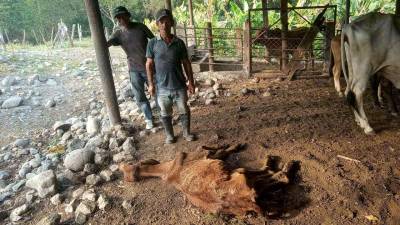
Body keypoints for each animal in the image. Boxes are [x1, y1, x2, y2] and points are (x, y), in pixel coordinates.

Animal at [120, 144, 298, 216]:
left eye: (130, 174)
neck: (167, 171)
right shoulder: (205, 154)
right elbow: (219, 150)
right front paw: (234, 146)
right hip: (241, 173)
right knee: (276, 175)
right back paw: (283, 165)